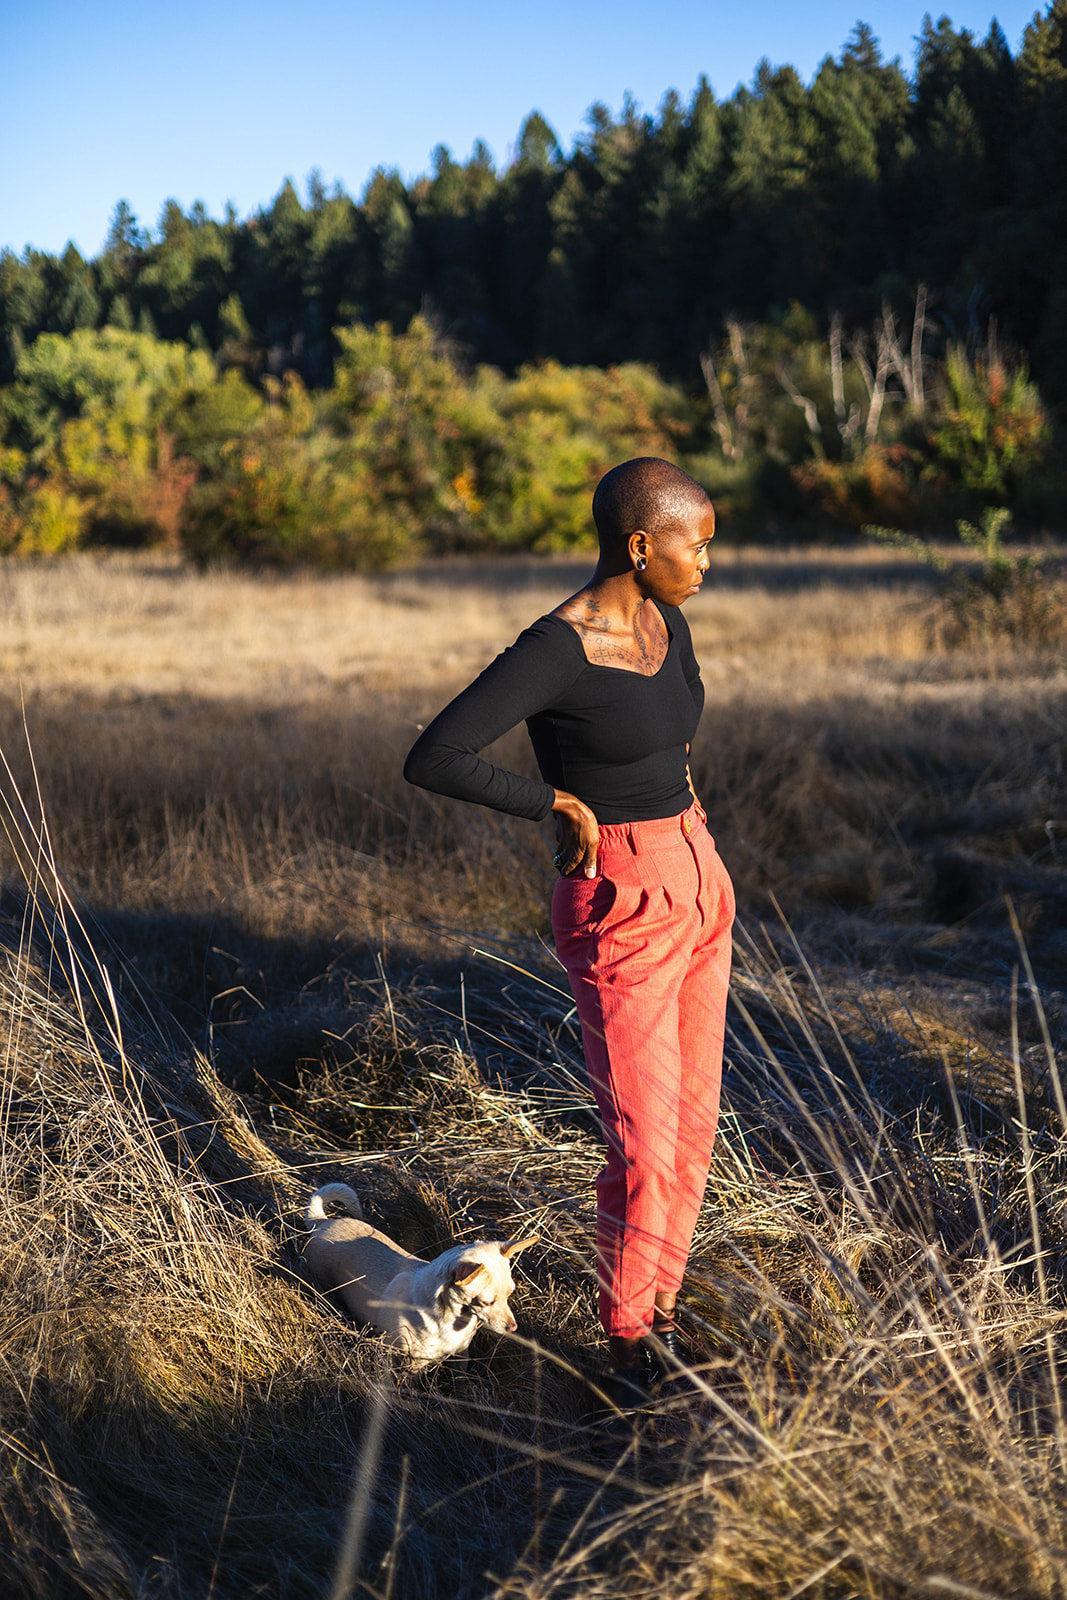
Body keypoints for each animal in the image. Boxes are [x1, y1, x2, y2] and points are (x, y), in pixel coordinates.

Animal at [303, 1184, 543, 1369]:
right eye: (486, 1302)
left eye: (510, 1295)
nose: (513, 1328)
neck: (455, 1320)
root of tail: (321, 1221)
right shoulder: (413, 1363)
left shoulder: (461, 1355)